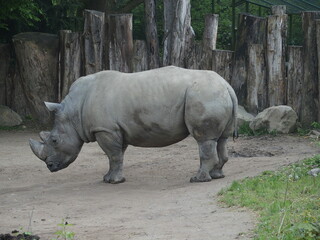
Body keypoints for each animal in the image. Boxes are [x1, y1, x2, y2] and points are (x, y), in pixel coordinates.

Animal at [30, 66, 238, 183]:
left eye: (54, 140)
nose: (50, 166)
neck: (73, 112)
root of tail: (227, 85)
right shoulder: (115, 129)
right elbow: (117, 156)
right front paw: (109, 178)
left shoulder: (105, 129)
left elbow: (113, 155)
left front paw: (113, 182)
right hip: (214, 94)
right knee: (221, 139)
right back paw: (217, 175)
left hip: (204, 94)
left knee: (204, 140)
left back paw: (197, 179)